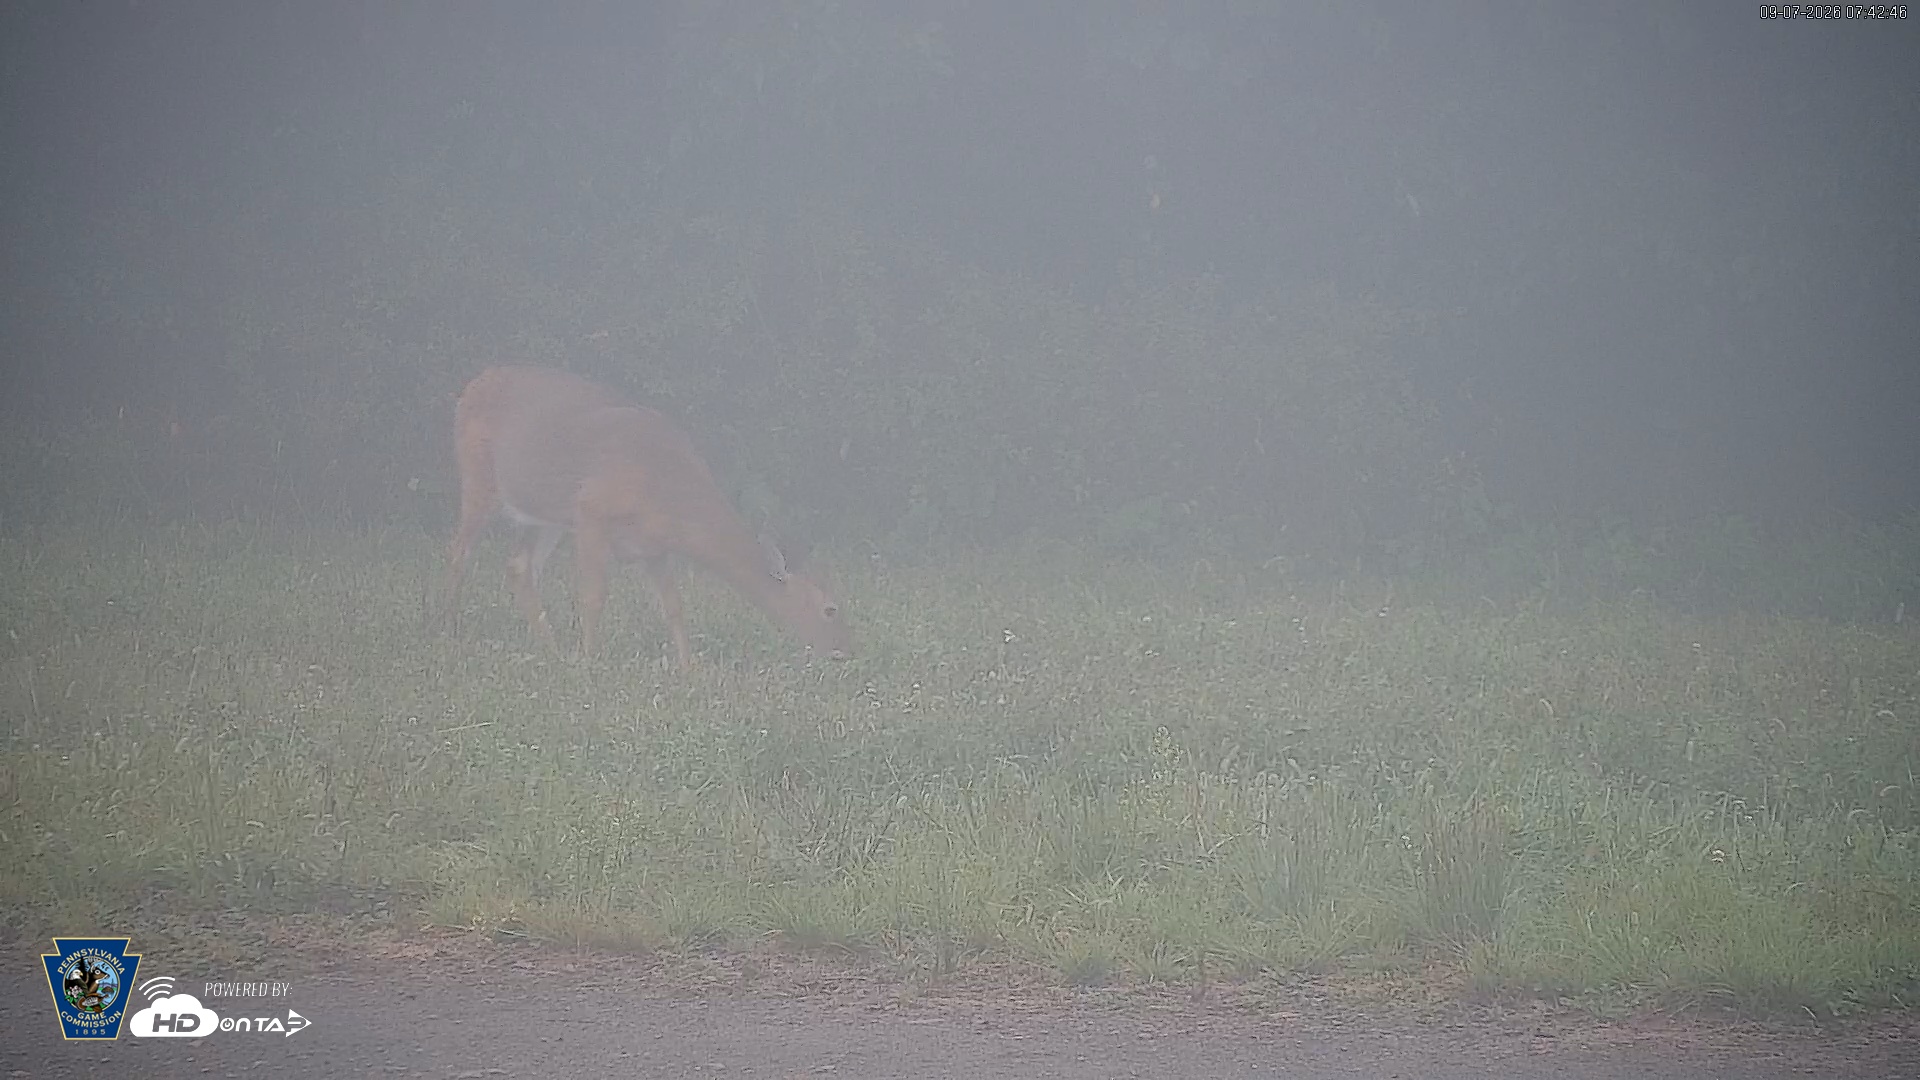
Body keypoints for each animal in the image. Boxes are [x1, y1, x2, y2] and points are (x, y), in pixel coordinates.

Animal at [437, 366, 851, 667]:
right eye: (830, 609)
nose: (843, 651)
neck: (667, 489)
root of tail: (473, 384)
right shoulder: (591, 512)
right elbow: (593, 596)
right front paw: (589, 659)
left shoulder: (654, 548)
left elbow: (674, 607)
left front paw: (689, 668)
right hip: (479, 479)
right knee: (458, 552)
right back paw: (450, 629)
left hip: (544, 515)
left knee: (519, 566)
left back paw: (549, 648)